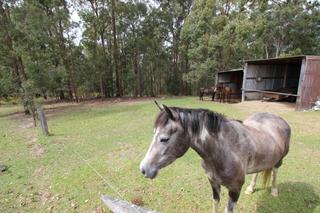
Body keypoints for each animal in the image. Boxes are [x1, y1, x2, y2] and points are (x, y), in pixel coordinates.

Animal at [140, 102, 290, 213]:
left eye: (164, 139)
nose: (143, 169)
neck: (225, 149)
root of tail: (277, 118)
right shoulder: (213, 182)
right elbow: (215, 203)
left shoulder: (235, 189)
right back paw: (251, 188)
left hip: (279, 160)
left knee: (275, 171)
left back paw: (274, 191)